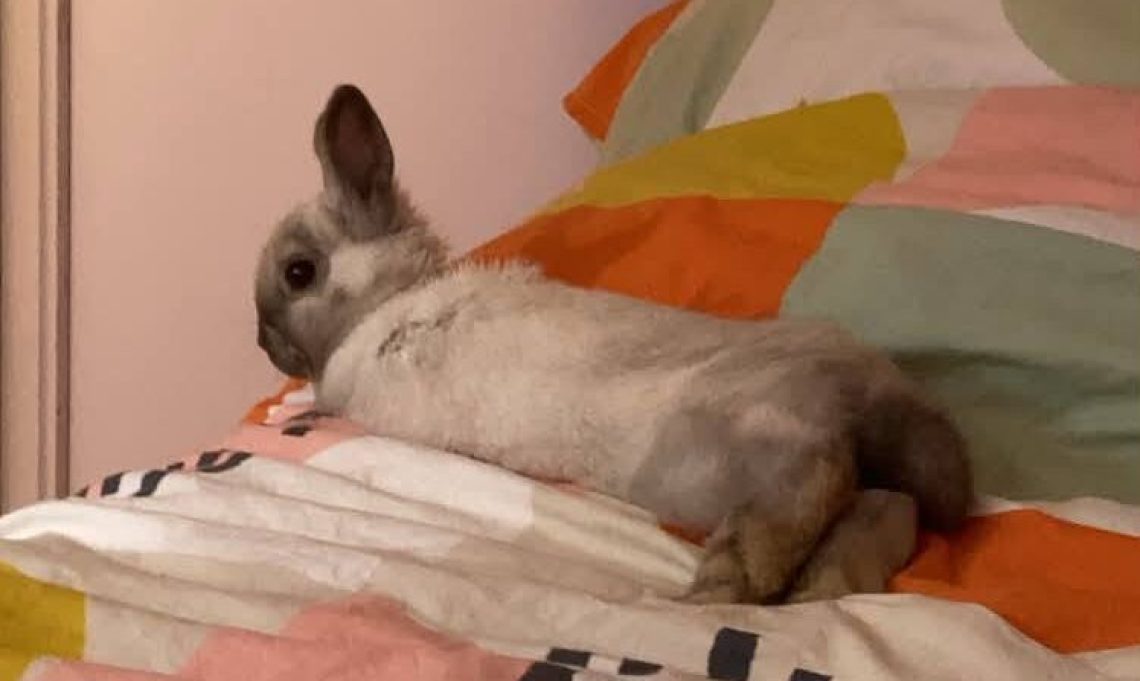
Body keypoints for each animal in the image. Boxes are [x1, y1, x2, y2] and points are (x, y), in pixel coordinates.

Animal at [254, 84, 972, 604]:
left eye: (299, 273)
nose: (264, 343)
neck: (383, 305)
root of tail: (859, 388)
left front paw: (291, 411)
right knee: (886, 505)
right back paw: (822, 585)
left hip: (709, 456)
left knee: (816, 477)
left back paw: (727, 584)